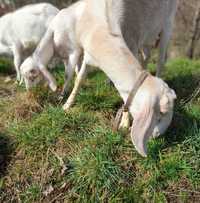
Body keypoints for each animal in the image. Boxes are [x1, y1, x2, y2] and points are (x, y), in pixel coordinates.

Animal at [20, 0, 177, 157]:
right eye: (162, 112)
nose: (158, 136)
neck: (103, 31)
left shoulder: (132, 43)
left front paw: (124, 122)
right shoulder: (89, 56)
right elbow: (79, 79)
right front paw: (67, 104)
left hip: (167, 26)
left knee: (160, 62)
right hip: (148, 36)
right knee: (147, 56)